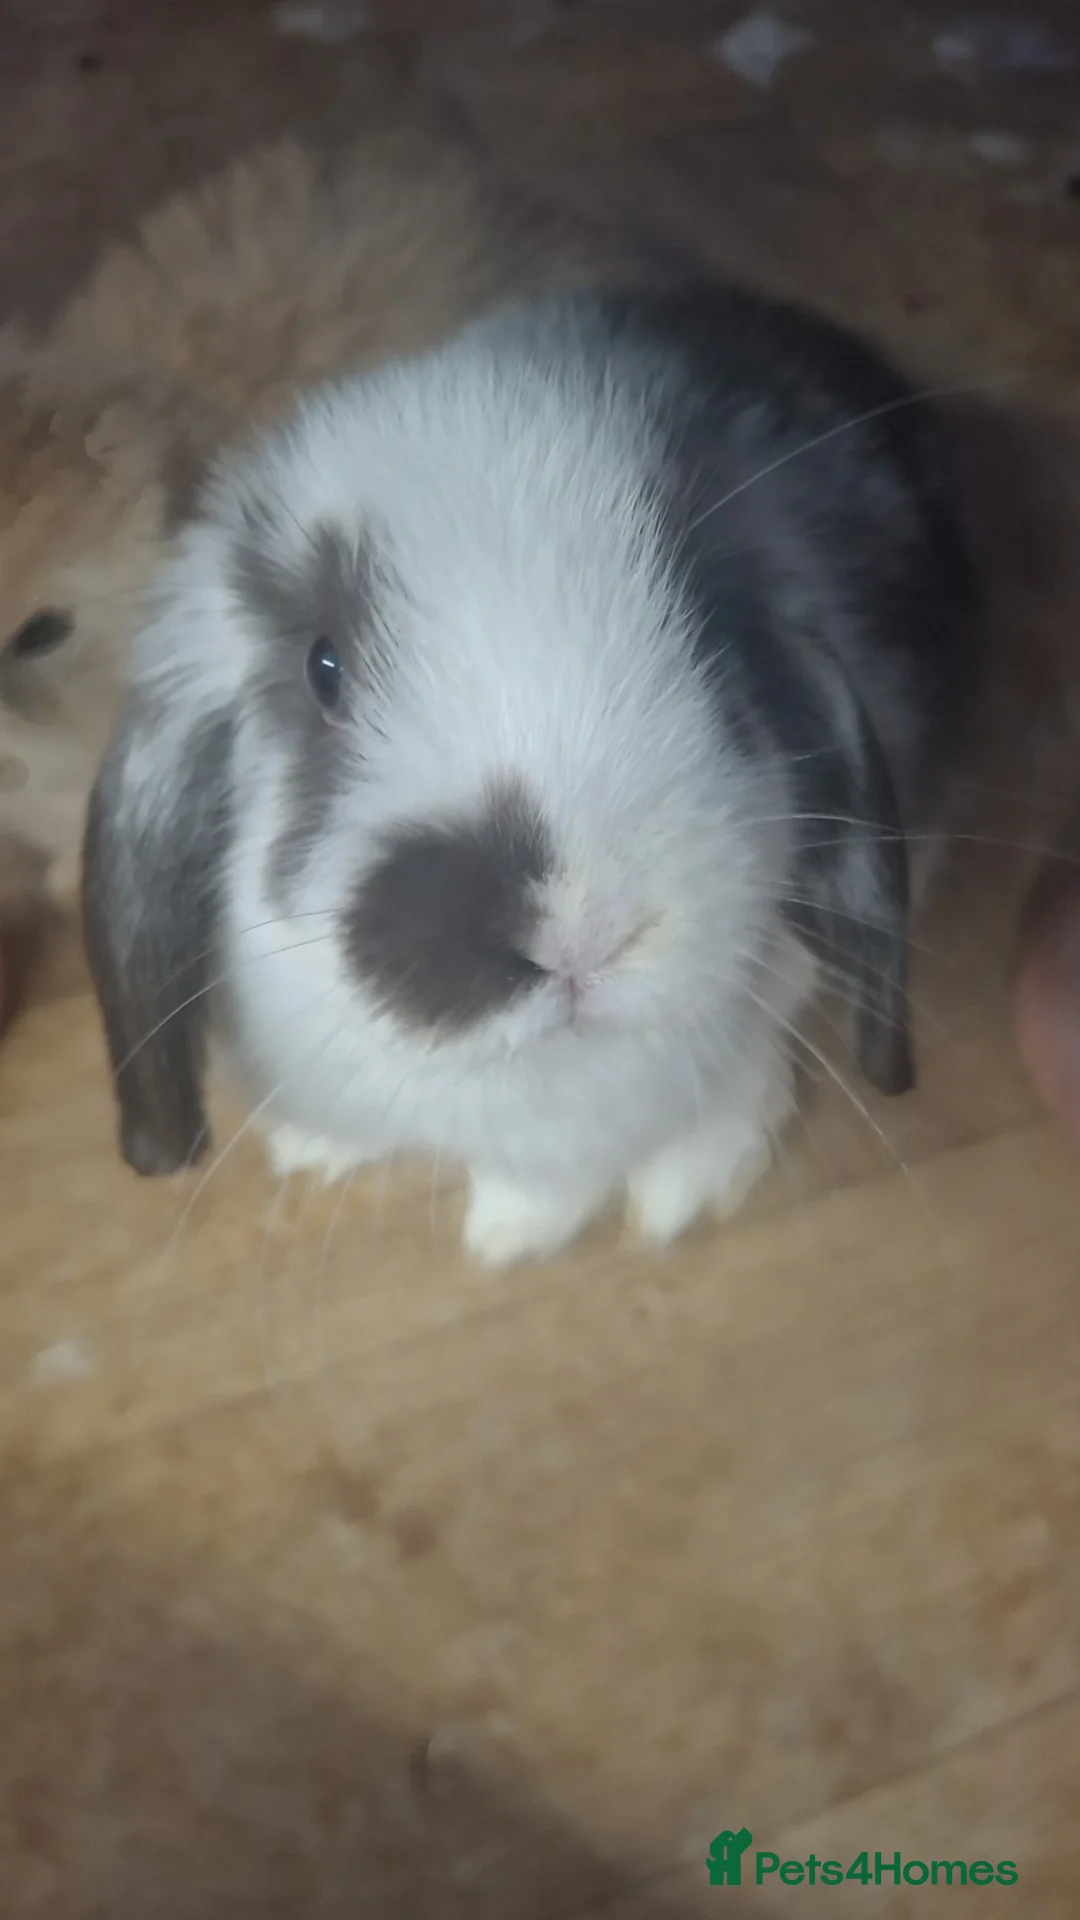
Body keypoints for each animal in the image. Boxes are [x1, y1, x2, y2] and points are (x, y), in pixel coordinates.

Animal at [81, 279, 982, 1266]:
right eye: (324, 667)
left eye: (712, 639)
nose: (576, 925)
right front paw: (313, 1149)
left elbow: (565, 1179)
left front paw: (507, 1236)